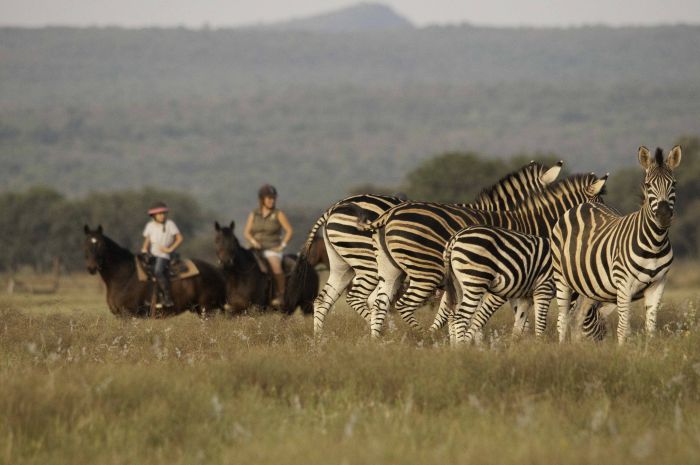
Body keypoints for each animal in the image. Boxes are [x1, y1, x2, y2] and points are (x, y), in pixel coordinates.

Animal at [83, 224, 227, 318]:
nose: (92, 267)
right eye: (85, 244)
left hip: (206, 309)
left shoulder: (128, 315)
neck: (124, 276)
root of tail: (216, 271)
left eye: (101, 244)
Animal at [288, 160, 568, 334]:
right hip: (367, 263)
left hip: (343, 265)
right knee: (365, 299)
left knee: (326, 300)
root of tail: (335, 207)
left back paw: (320, 341)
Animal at [360, 170, 608, 338]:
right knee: (402, 305)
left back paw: (379, 340)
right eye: (599, 207)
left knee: (380, 303)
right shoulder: (516, 271)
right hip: (425, 271)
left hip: (391, 270)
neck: (533, 222)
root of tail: (390, 213)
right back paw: (423, 336)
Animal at [548, 147, 680, 342]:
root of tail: (582, 204)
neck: (655, 244)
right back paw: (563, 346)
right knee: (562, 320)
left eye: (674, 184)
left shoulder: (658, 284)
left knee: (578, 318)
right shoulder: (624, 284)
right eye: (648, 185)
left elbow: (651, 328)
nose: (663, 217)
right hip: (562, 278)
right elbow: (623, 329)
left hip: (591, 286)